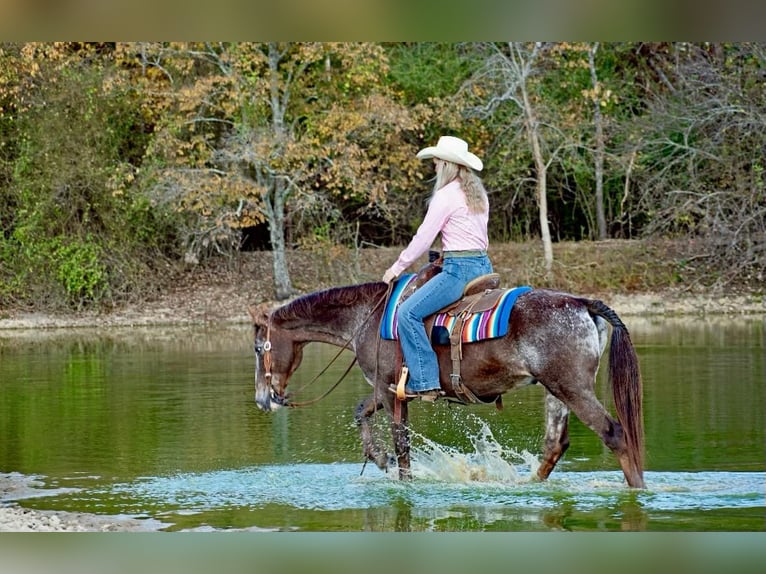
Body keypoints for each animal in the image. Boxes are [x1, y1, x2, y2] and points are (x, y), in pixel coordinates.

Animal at [248, 266, 645, 489]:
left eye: (257, 348)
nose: (262, 399)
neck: (367, 318)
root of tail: (581, 303)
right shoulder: (384, 390)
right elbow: (361, 412)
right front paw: (379, 459)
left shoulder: (391, 391)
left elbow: (401, 441)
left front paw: (399, 476)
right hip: (555, 390)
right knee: (555, 444)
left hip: (573, 387)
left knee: (614, 433)